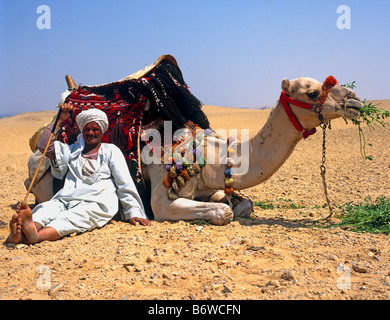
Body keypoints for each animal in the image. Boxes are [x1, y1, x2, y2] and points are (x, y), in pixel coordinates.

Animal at [25, 59, 362, 228]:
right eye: (311, 92)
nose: (355, 100)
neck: (210, 157)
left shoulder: (213, 184)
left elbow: (240, 203)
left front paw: (232, 202)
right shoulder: (161, 199)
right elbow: (223, 213)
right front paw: (220, 211)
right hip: (40, 174)